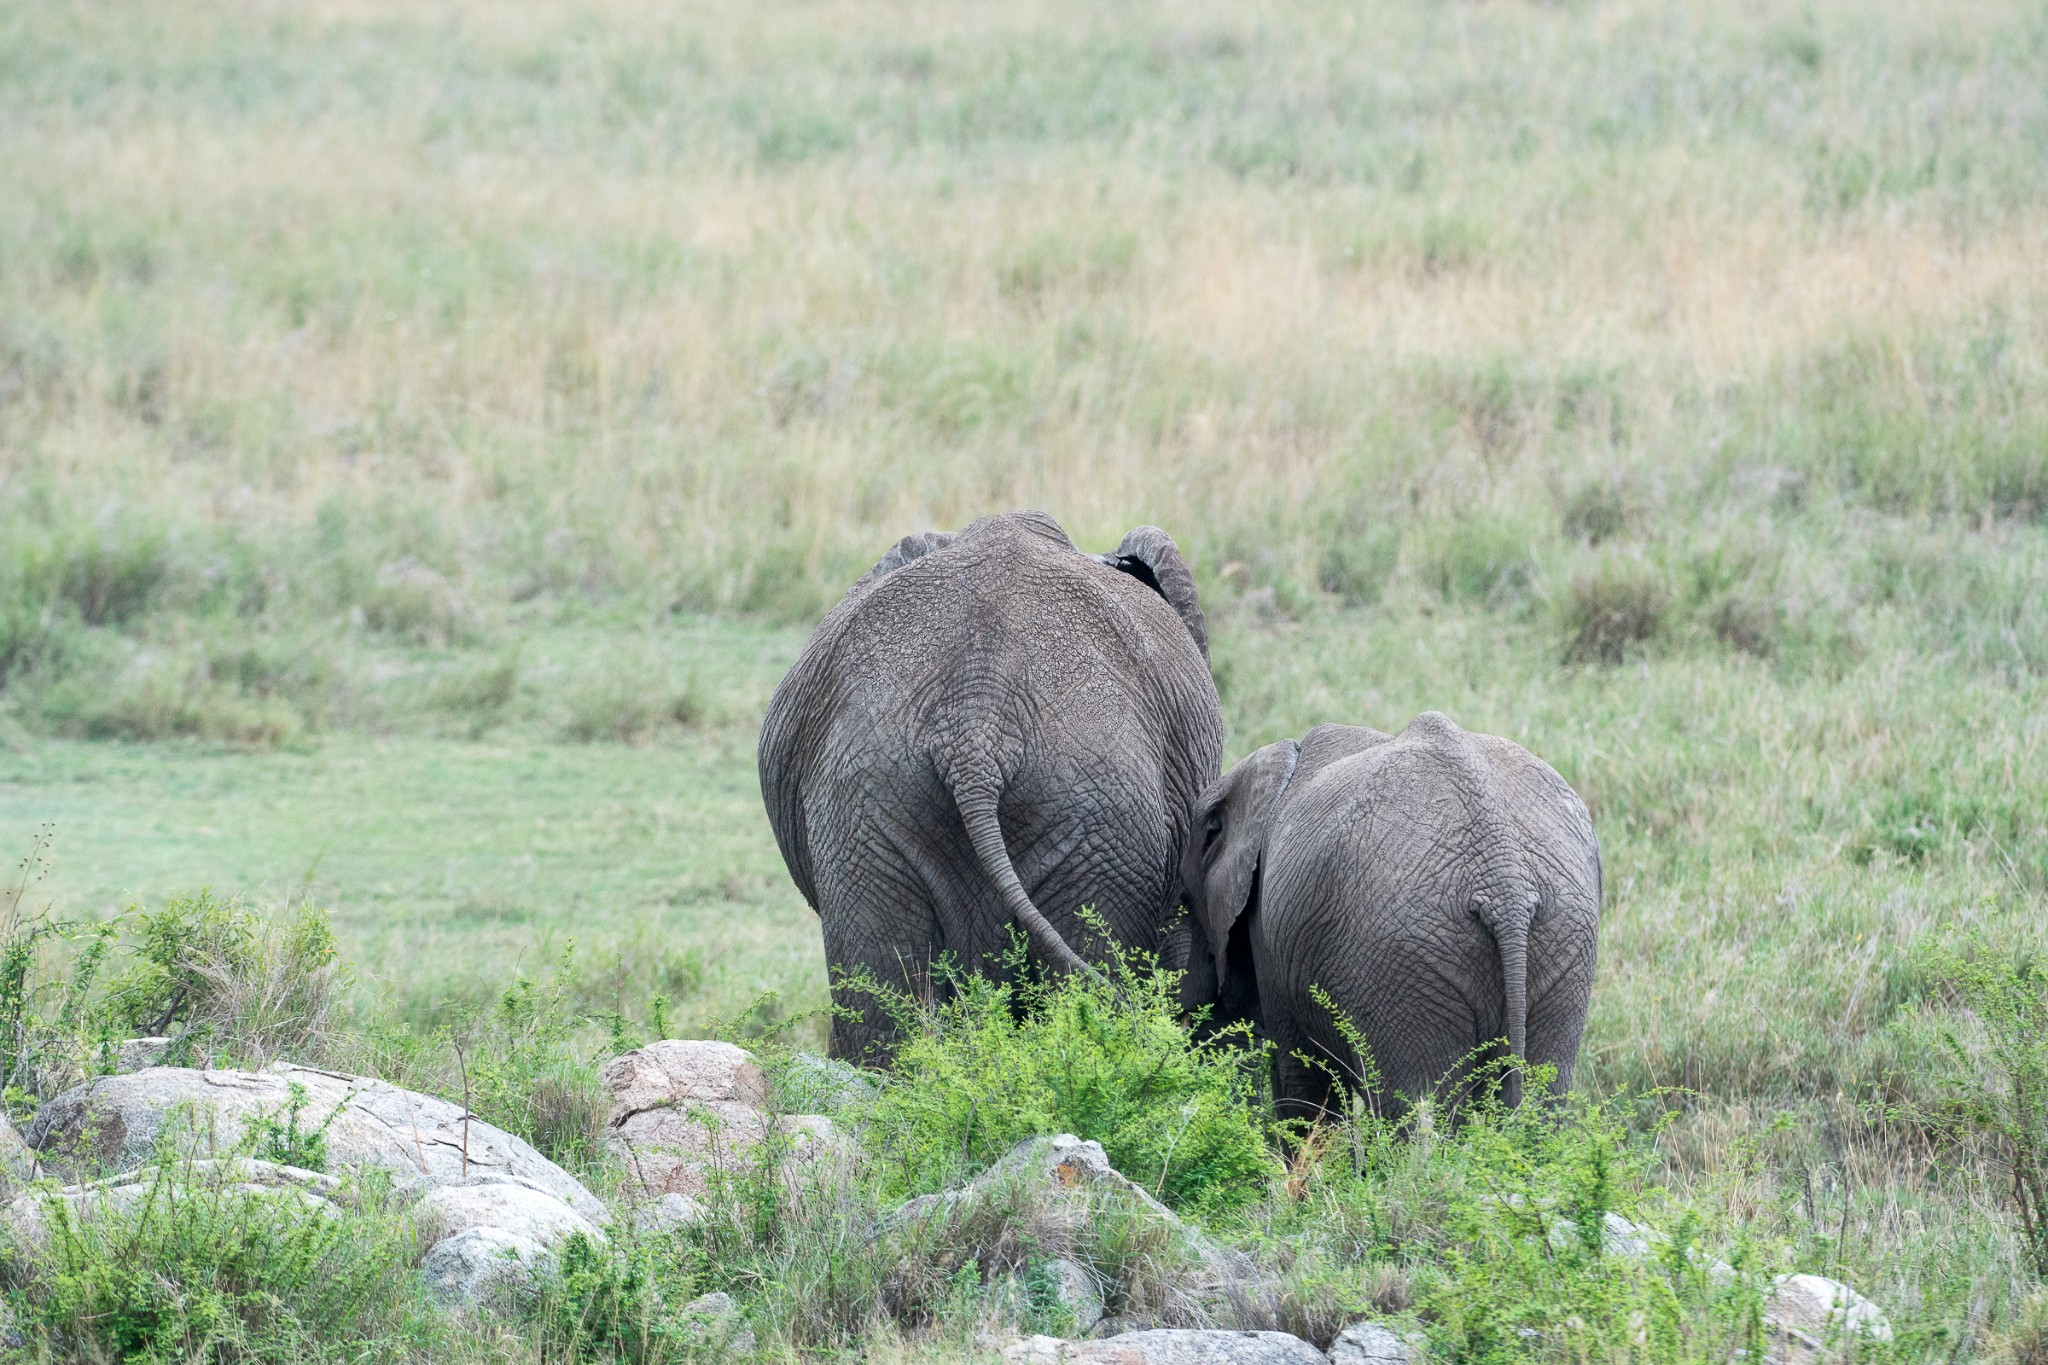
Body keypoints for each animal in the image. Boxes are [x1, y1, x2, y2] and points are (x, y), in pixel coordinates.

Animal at [1187, 716, 1597, 1121]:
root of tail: (1503, 878)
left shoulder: (1270, 938)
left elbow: (1301, 1079)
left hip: (1405, 963)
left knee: (1415, 1110)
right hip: (1562, 946)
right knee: (1539, 1109)